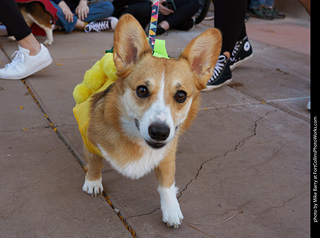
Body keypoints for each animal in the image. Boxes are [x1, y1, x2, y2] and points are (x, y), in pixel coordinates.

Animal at [81, 14, 221, 227]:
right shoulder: (90, 140)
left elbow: (167, 183)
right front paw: (93, 182)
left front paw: (171, 210)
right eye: (142, 90)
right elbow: (95, 161)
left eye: (181, 95)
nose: (160, 132)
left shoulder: (167, 155)